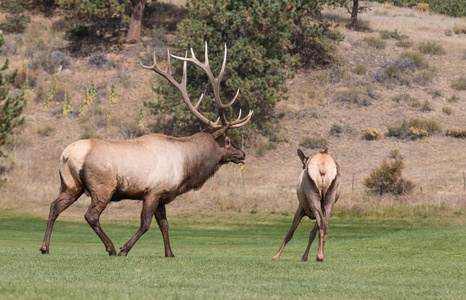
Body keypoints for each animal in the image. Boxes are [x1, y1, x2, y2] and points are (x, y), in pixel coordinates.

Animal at [38, 42, 253, 258]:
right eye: (227, 141)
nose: (242, 154)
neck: (186, 167)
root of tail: (66, 154)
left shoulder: (163, 196)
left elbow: (164, 224)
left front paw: (169, 254)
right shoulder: (153, 191)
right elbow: (146, 223)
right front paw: (125, 248)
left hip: (71, 184)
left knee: (54, 206)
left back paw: (45, 247)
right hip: (102, 186)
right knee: (91, 215)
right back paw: (111, 248)